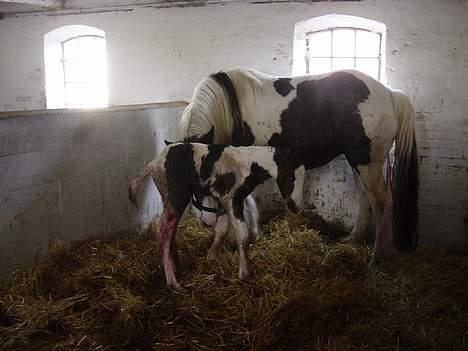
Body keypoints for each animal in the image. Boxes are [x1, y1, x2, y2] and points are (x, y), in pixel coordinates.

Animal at [180, 69, 420, 262]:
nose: (206, 221)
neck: (231, 111)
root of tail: (390, 94)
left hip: (367, 164)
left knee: (380, 201)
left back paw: (377, 255)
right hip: (359, 162)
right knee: (364, 198)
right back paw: (353, 239)